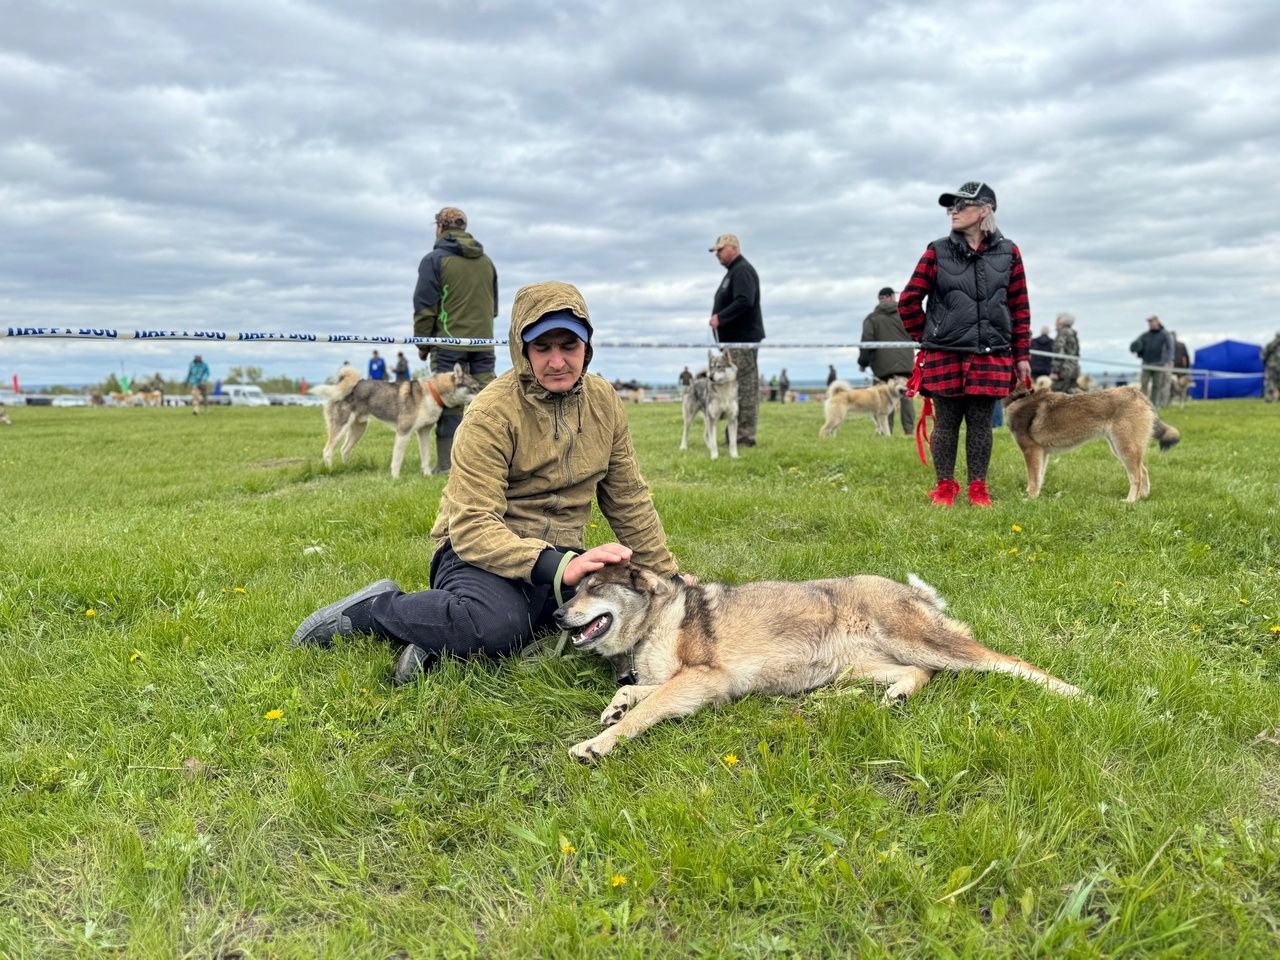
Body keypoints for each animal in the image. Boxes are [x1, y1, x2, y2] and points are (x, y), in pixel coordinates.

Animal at [1003, 384, 1182, 504]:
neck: (1021, 397)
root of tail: (1136, 393)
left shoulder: (1031, 450)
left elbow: (1033, 479)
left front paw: (1030, 499)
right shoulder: (1042, 453)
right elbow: (1039, 478)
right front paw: (1033, 496)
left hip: (1124, 448)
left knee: (1136, 475)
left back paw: (1130, 501)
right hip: (1121, 448)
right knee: (1143, 470)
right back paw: (1141, 497)